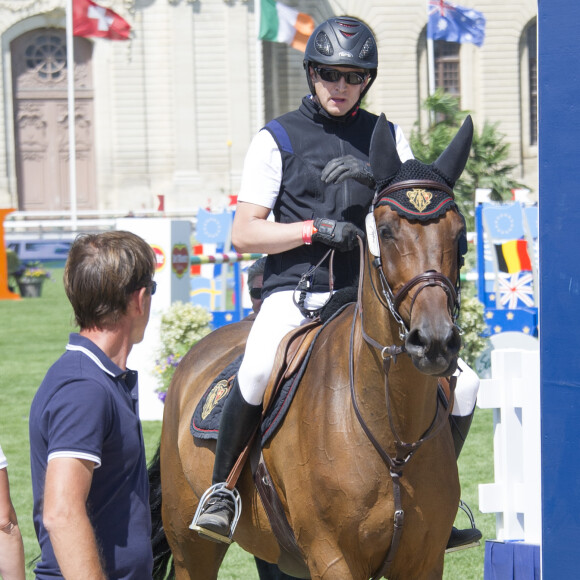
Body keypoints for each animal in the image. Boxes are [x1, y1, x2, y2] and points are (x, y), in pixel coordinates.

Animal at [152, 114, 474, 580]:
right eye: (386, 231)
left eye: (460, 235)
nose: (434, 342)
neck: (392, 433)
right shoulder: (332, 558)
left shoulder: (424, 560)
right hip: (191, 545)